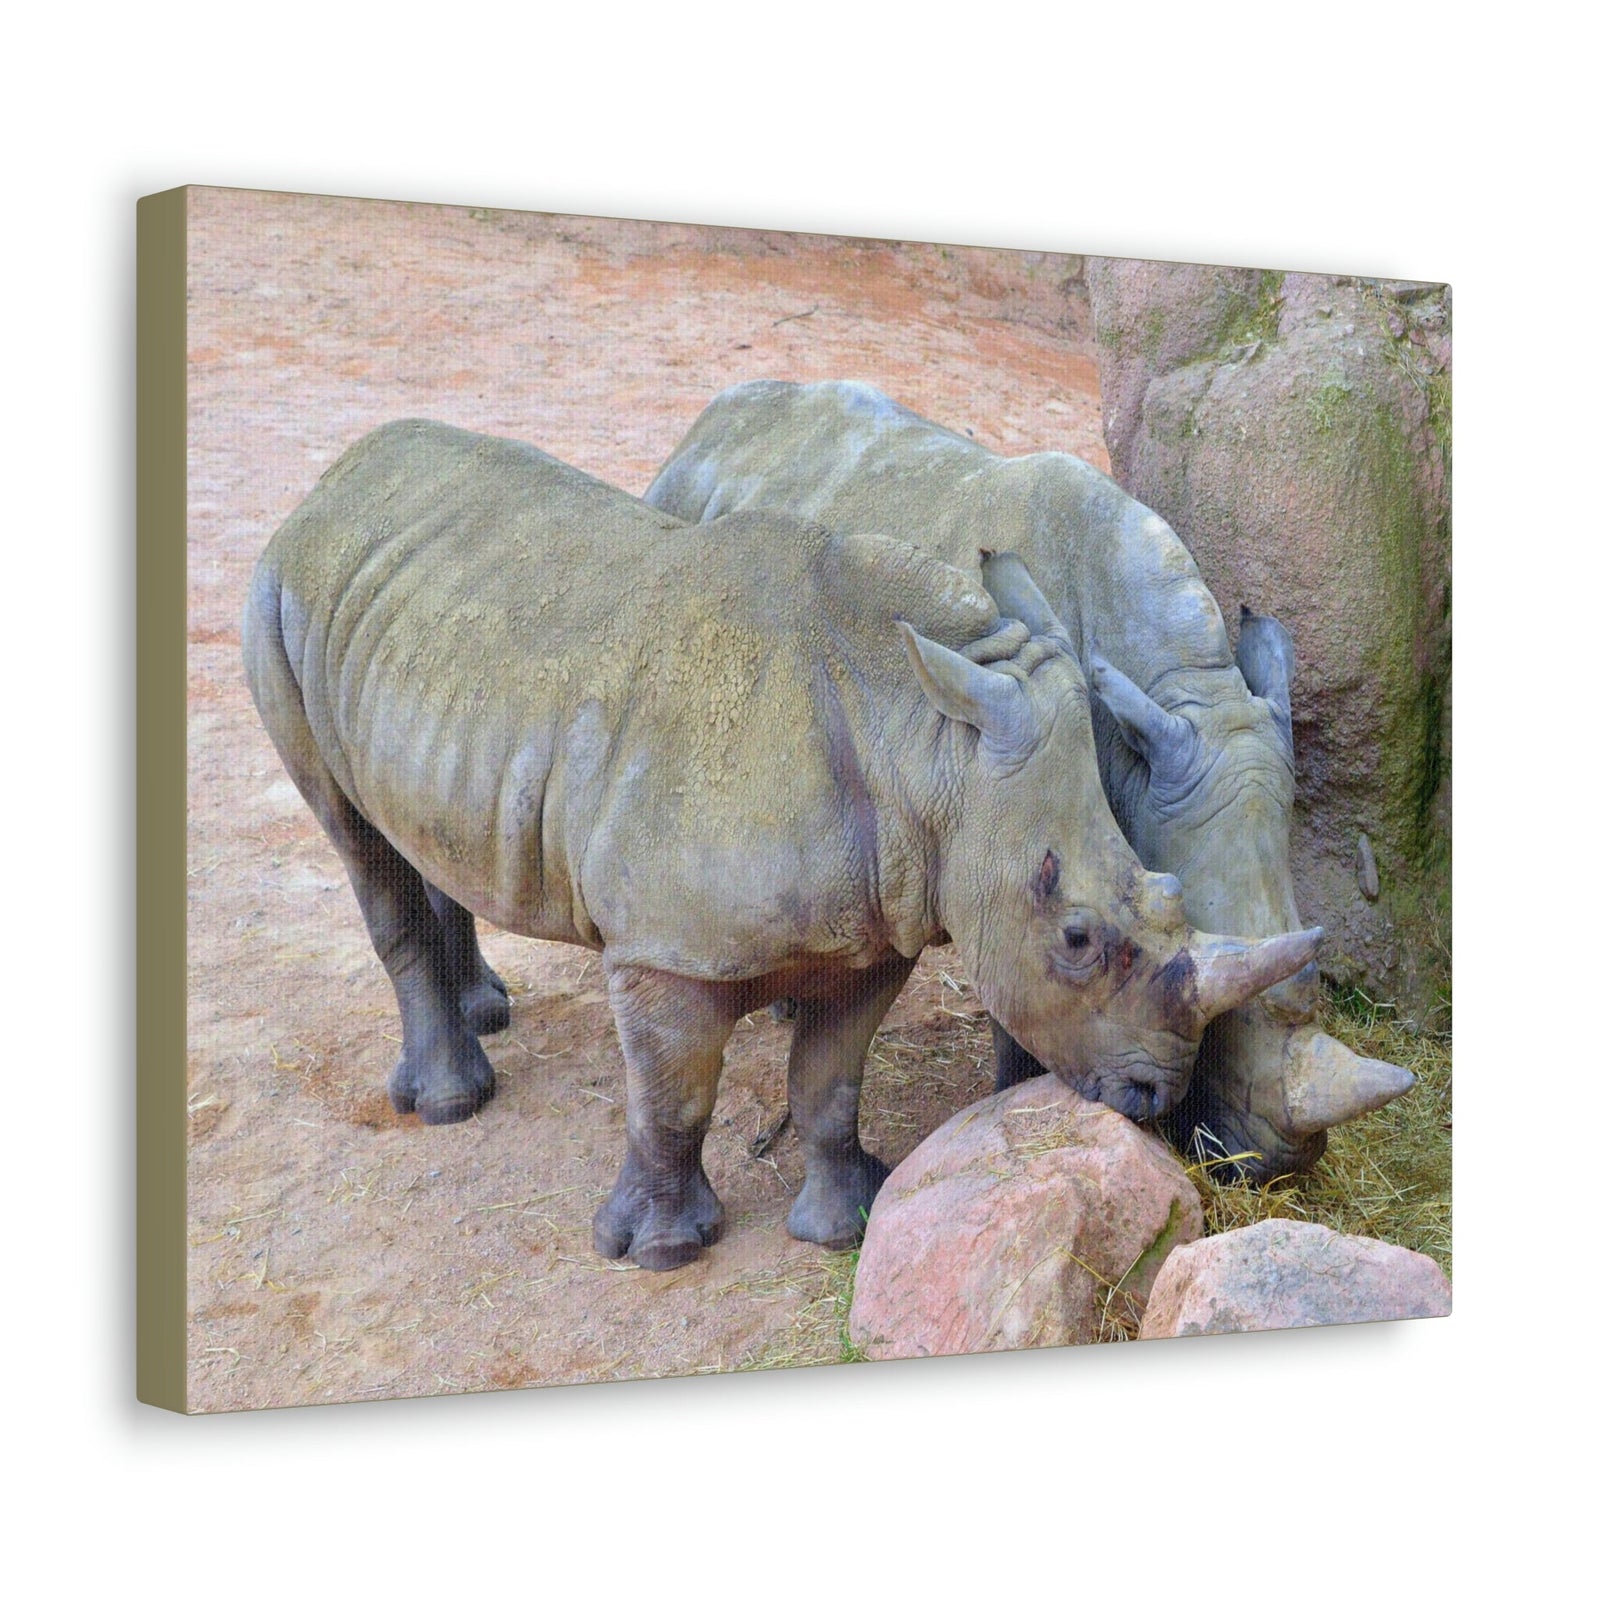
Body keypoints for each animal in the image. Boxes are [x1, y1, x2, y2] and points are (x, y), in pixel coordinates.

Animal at [242, 419, 1320, 1269]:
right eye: (1077, 939)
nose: (1152, 1090)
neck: (924, 741)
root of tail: (335, 476)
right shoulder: (664, 948)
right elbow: (673, 1094)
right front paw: (661, 1252)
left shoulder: (884, 918)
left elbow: (829, 1081)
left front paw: (846, 1222)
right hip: (277, 592)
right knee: (351, 833)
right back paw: (452, 1104)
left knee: (418, 825)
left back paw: (487, 1012)